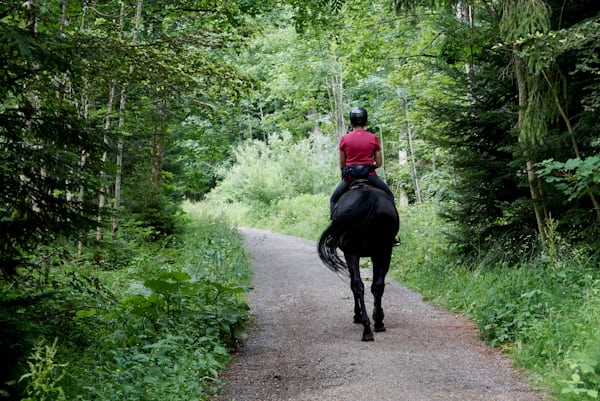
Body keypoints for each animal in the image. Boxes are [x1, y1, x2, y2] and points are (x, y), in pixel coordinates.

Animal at [318, 180, 398, 340]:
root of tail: (367, 195)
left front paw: (358, 315)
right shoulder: (375, 253)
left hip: (353, 252)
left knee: (358, 285)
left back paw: (366, 325)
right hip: (383, 250)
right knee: (376, 285)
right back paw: (375, 324)